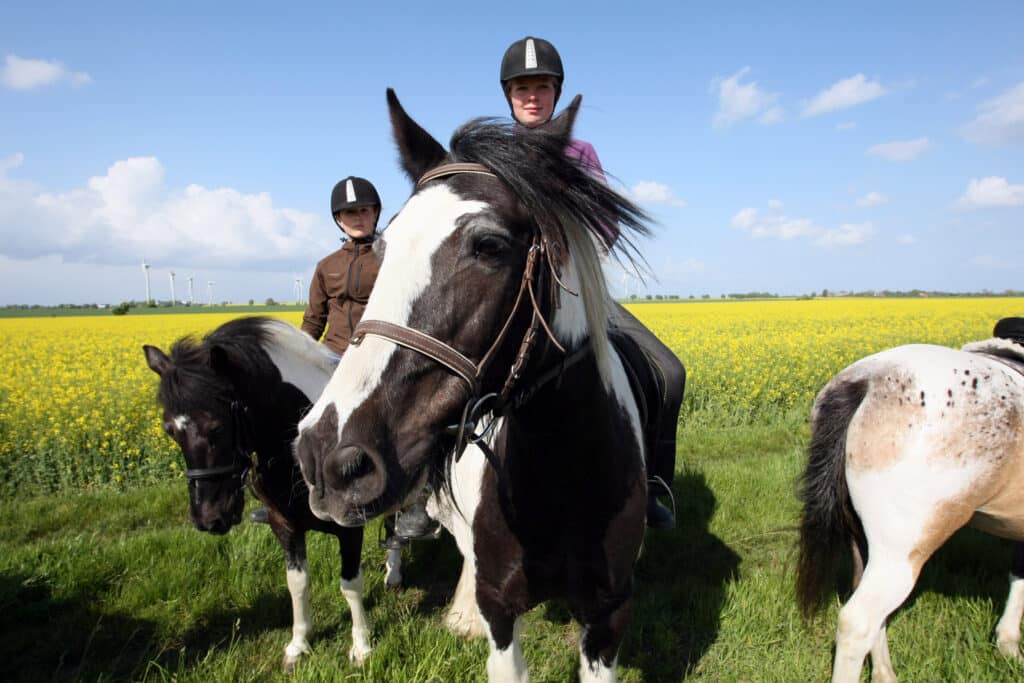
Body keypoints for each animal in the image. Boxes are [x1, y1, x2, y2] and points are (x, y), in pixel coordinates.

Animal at [145, 317, 407, 671]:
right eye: (170, 431)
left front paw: (362, 647)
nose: (208, 518)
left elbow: (350, 584)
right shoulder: (283, 524)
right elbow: (296, 582)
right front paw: (299, 644)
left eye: (216, 428)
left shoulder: (348, 528)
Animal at [292, 92, 651, 683]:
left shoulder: (608, 615)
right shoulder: (503, 610)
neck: (559, 469)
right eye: (383, 250)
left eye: (489, 245)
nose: (326, 457)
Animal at [794, 333, 1024, 679]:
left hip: (864, 540)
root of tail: (866, 380)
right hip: (903, 550)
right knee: (857, 622)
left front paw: (1008, 643)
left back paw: (885, 675)